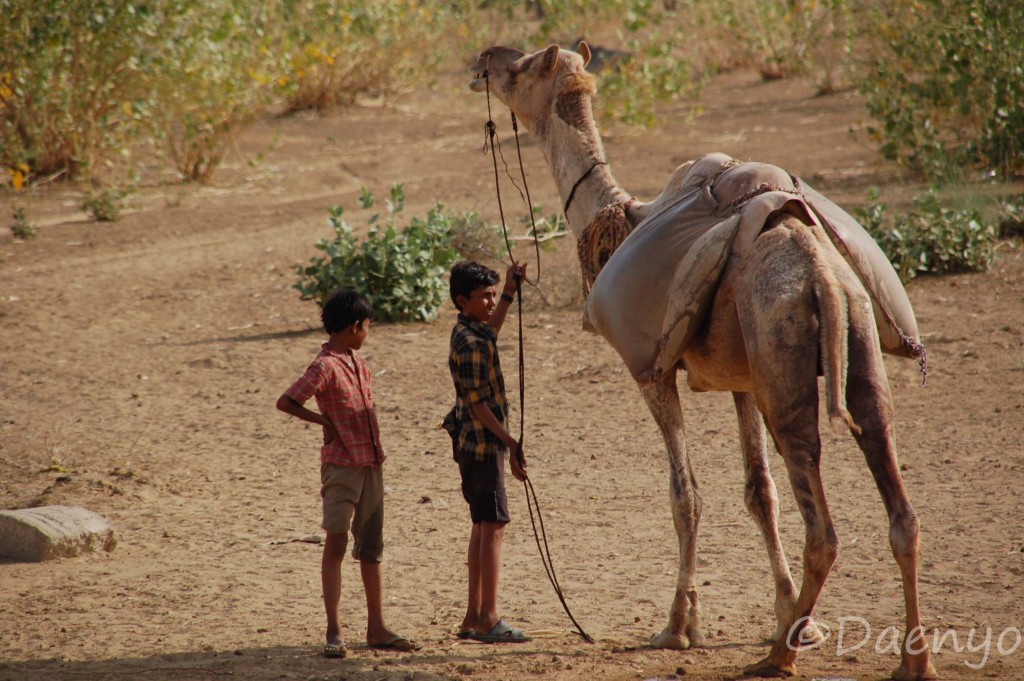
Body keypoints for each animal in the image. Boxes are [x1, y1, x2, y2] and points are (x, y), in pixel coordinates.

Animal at [469, 43, 937, 680]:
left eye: (518, 69)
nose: (484, 62)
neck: (618, 220)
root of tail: (819, 274)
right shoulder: (742, 381)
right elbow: (758, 491)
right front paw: (787, 612)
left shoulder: (652, 373)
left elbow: (684, 492)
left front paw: (678, 626)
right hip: (855, 345)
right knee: (899, 502)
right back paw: (911, 660)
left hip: (785, 371)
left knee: (824, 526)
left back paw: (778, 658)